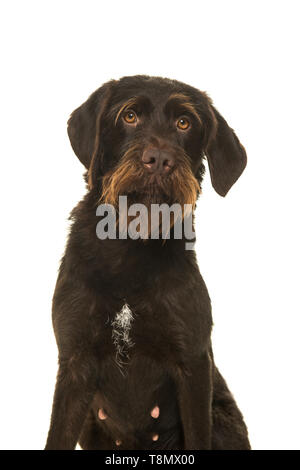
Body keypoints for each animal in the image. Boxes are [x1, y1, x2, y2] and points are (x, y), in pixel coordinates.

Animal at [45, 75, 251, 450]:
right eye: (129, 116)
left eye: (184, 122)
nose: (159, 159)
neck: (130, 250)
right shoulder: (74, 364)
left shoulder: (193, 365)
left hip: (223, 422)